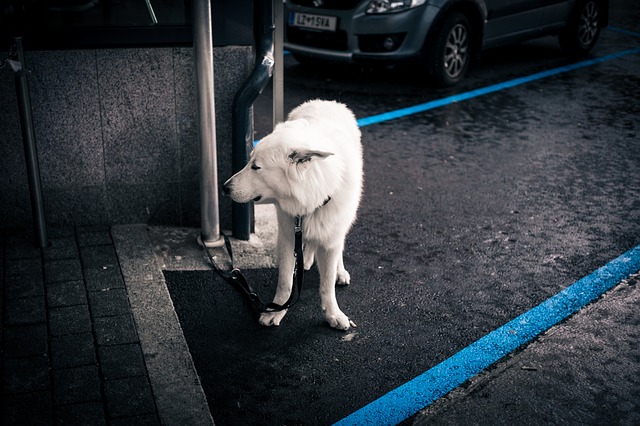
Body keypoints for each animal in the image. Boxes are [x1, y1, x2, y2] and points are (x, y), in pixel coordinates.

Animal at [222, 99, 362, 330]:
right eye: (249, 162)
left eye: (256, 167)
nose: (225, 188)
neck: (313, 197)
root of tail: (326, 101)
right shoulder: (288, 235)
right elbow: (286, 282)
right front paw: (276, 310)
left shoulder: (330, 235)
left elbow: (327, 285)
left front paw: (333, 314)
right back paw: (306, 260)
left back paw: (339, 270)